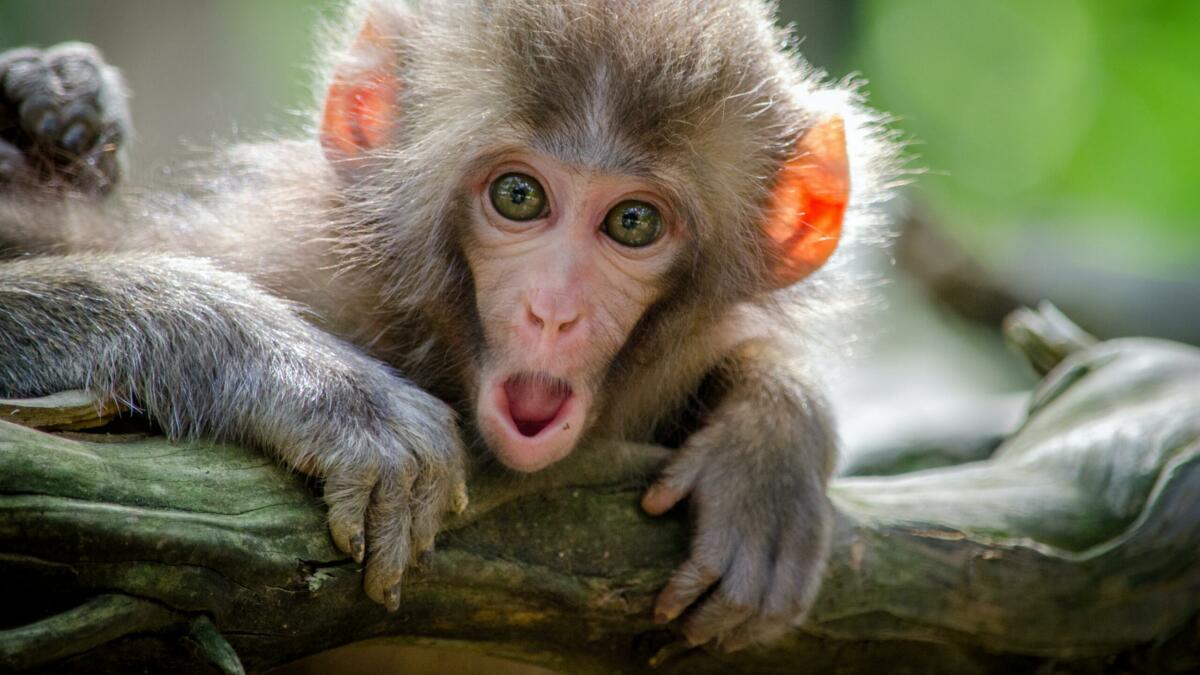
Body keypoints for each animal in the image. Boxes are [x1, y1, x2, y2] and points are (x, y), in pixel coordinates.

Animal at [0, 0, 896, 652]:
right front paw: (322, 389)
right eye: (519, 197)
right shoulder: (294, 258)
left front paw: (769, 445)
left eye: (633, 223)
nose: (553, 309)